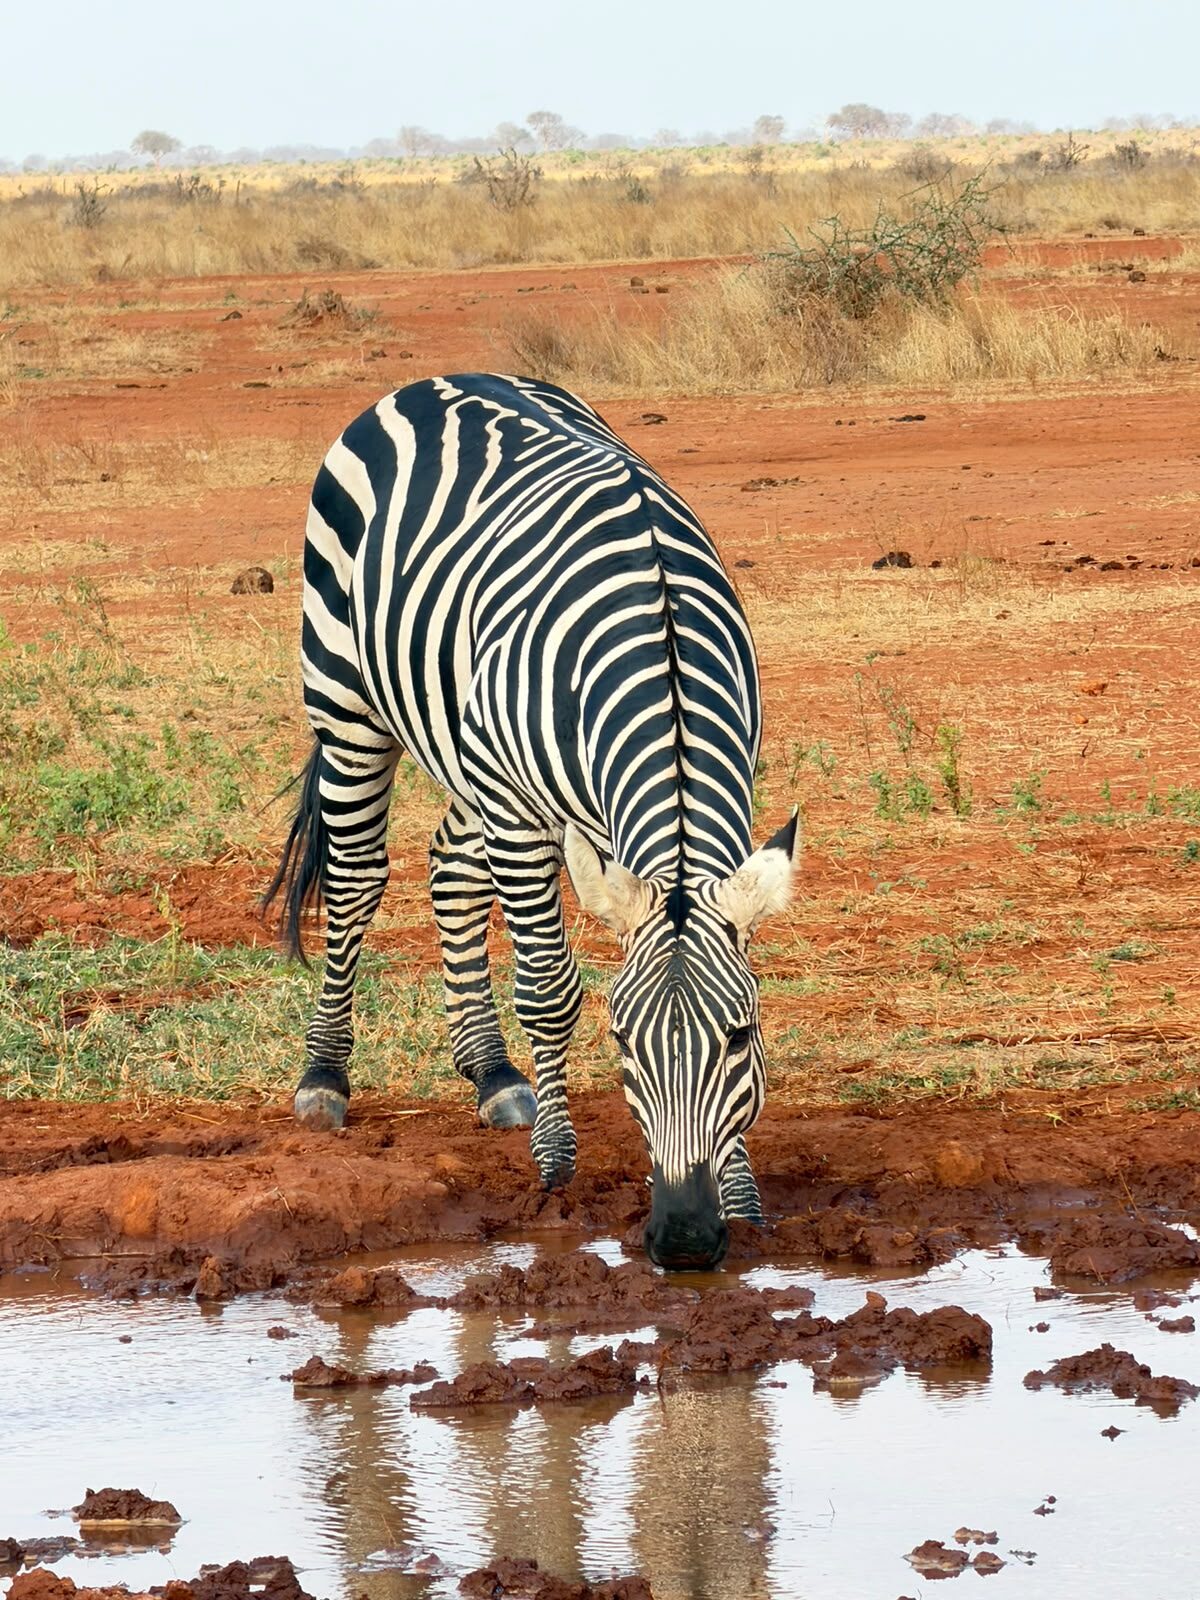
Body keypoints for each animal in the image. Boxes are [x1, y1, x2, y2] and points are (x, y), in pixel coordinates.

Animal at [265, 373, 799, 1270]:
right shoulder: (519, 812)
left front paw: (742, 1191)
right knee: (355, 879)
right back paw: (324, 1077)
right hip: (347, 700)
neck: (664, 658)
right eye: (621, 1041)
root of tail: (441, 379)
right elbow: (548, 987)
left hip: (467, 748)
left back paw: (491, 1073)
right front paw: (554, 1163)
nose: (686, 1240)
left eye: (740, 1036)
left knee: (448, 868)